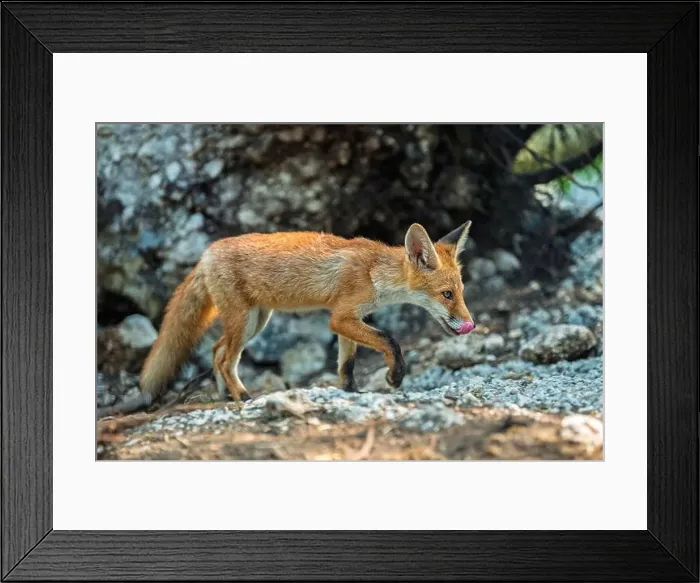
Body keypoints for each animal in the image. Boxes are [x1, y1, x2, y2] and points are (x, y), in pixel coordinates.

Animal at [96, 221, 475, 418]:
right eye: (447, 295)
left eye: (461, 291)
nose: (470, 324)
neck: (374, 272)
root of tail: (206, 253)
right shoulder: (340, 318)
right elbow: (390, 340)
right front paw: (395, 377)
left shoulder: (350, 320)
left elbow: (347, 363)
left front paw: (350, 391)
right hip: (244, 322)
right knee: (225, 357)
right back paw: (244, 396)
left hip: (255, 321)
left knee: (216, 352)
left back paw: (223, 395)